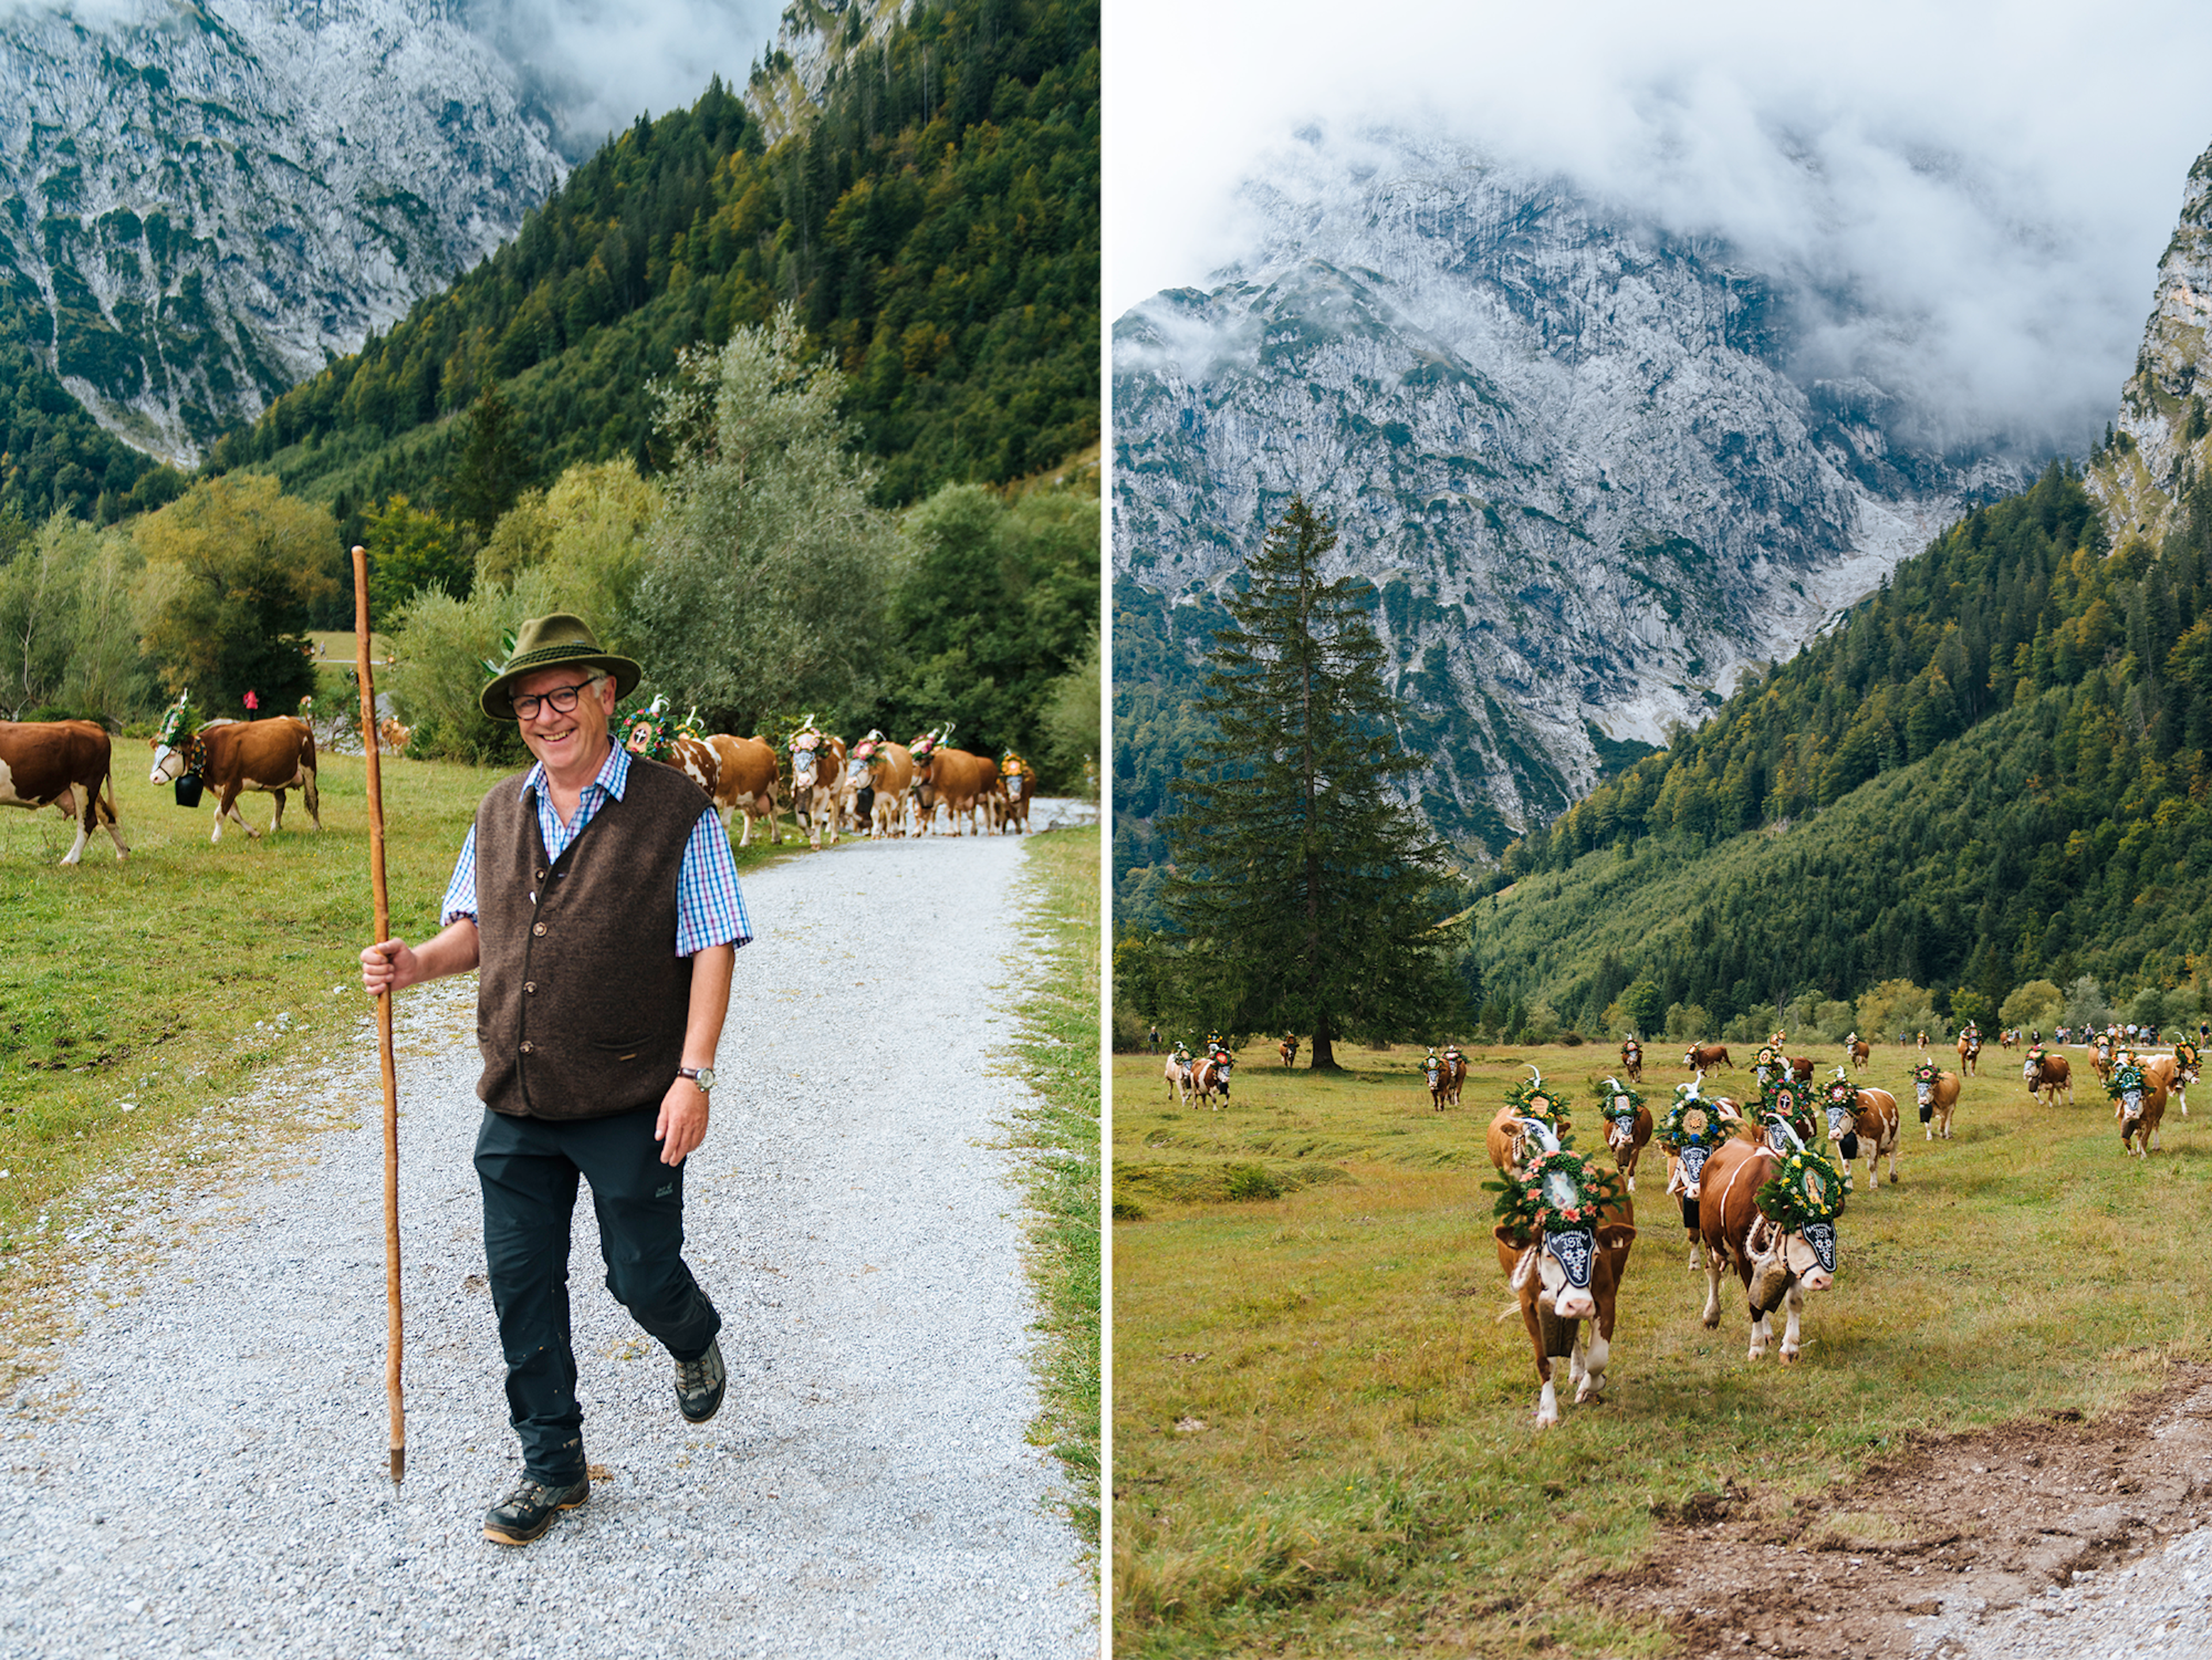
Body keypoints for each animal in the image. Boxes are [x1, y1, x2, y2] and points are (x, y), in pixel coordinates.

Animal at [0, 716, 128, 870]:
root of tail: (87, 724)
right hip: (90, 791)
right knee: (107, 816)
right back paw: (123, 854)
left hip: (85, 784)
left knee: (88, 822)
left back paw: (71, 860)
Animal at [151, 716, 323, 844]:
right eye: (156, 752)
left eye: (172, 754)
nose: (154, 777)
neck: (212, 751)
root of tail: (298, 723)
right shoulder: (218, 788)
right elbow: (233, 814)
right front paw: (253, 832)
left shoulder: (232, 784)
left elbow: (220, 814)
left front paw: (216, 838)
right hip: (278, 775)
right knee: (280, 799)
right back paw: (275, 826)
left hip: (309, 768)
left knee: (312, 798)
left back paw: (316, 827)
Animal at [1495, 1193, 1637, 1432]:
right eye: (1549, 1255)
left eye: (1595, 1253)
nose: (1578, 1304)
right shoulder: (1529, 1306)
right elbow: (1545, 1361)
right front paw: (1547, 1413)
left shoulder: (1606, 1299)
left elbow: (1597, 1358)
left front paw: (1590, 1385)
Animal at [1699, 1140, 1840, 1361]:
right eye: (1799, 1236)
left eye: (1833, 1236)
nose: (1824, 1281)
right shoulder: (1742, 1256)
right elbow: (1755, 1305)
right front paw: (1756, 1348)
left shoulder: (1792, 1264)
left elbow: (1794, 1302)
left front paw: (1790, 1348)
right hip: (1709, 1238)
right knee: (1713, 1273)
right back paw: (1712, 1315)